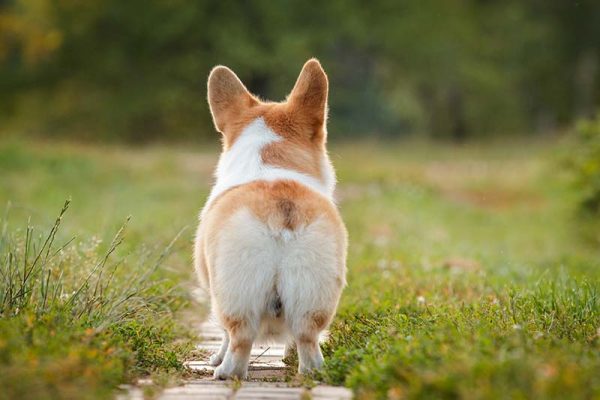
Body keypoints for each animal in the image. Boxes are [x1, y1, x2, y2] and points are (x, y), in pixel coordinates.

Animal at [195, 58, 346, 378]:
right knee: (307, 339)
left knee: (238, 339)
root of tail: (280, 214)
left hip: (234, 292)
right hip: (312, 292)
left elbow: (223, 335)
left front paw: (215, 358)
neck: (270, 160)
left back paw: (224, 371)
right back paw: (309, 371)